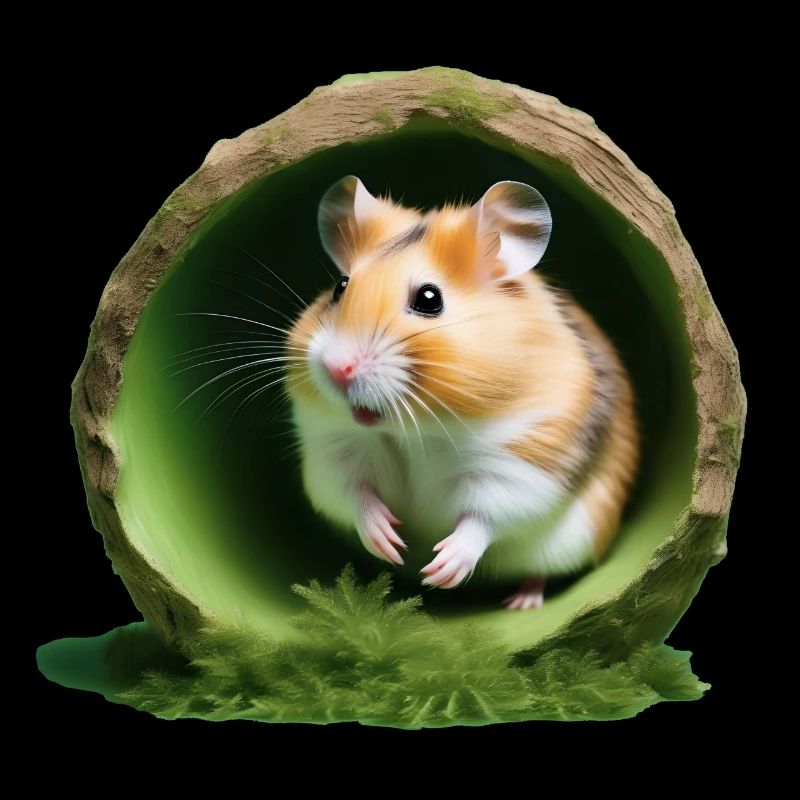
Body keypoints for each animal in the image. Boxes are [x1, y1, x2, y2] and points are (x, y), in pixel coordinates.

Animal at [286, 176, 639, 609]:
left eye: (429, 299)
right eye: (340, 287)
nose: (338, 368)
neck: (418, 432)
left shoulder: (522, 462)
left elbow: (483, 517)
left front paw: (441, 569)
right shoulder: (332, 451)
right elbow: (353, 493)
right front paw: (391, 542)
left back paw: (521, 602)